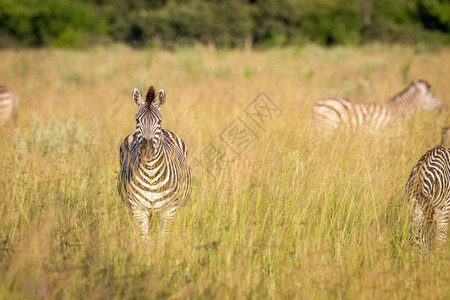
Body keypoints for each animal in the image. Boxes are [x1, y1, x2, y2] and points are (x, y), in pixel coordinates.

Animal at [118, 84, 192, 241]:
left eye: (159, 121)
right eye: (137, 120)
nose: (147, 150)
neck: (151, 172)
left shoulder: (169, 210)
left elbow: (163, 238)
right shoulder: (138, 210)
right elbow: (145, 240)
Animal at [312, 81, 442, 135]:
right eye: (432, 96)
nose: (442, 107)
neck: (399, 111)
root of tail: (318, 102)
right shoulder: (388, 133)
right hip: (328, 127)